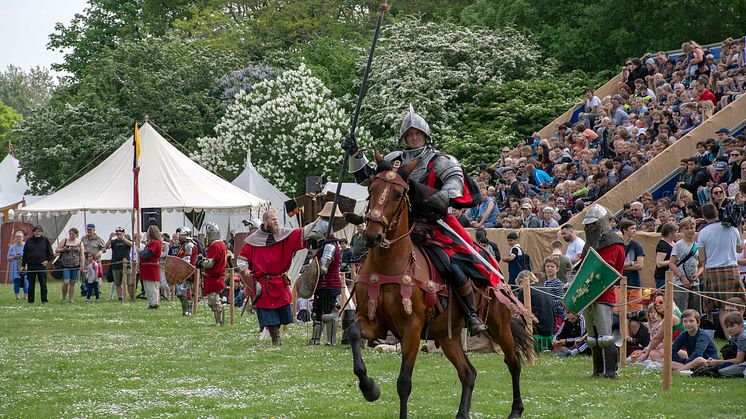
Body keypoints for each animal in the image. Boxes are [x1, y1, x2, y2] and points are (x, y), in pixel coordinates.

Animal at [346, 155, 532, 419]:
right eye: (372, 189)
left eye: (398, 194)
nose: (373, 235)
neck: (390, 264)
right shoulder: (374, 322)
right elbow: (352, 334)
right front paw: (370, 388)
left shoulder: (412, 329)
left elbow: (404, 382)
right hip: (447, 335)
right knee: (468, 373)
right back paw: (462, 414)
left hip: (498, 323)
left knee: (513, 362)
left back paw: (516, 410)